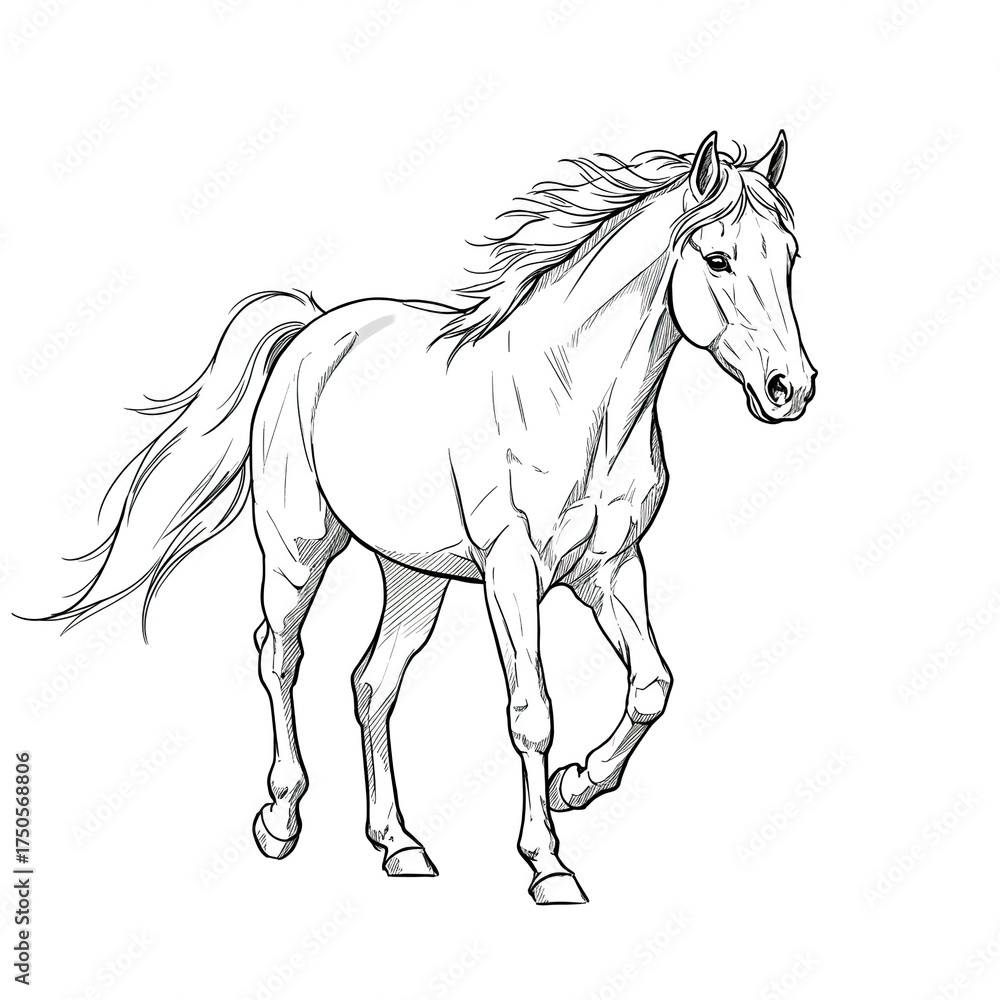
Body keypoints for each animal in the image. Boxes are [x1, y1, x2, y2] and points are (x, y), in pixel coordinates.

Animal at [41, 130, 816, 904]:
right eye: (717, 258)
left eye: (790, 255)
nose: (792, 389)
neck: (571, 400)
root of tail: (310, 332)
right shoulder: (513, 573)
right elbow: (531, 715)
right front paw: (548, 865)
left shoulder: (610, 569)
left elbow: (653, 686)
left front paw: (576, 785)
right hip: (297, 549)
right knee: (279, 656)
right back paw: (281, 820)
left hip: (414, 575)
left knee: (372, 683)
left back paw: (399, 844)